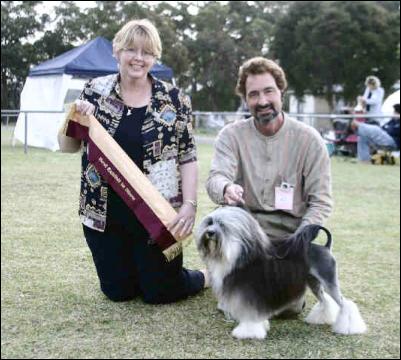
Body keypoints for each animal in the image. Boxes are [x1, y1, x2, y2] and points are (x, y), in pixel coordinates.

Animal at [195, 207, 368, 338]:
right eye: (210, 222)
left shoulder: (250, 294)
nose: (210, 233)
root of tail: (326, 247)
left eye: (222, 226)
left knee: (345, 303)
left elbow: (250, 315)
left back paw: (349, 328)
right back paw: (321, 319)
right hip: (314, 283)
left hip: (329, 280)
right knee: (325, 300)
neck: (237, 254)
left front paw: (248, 332)